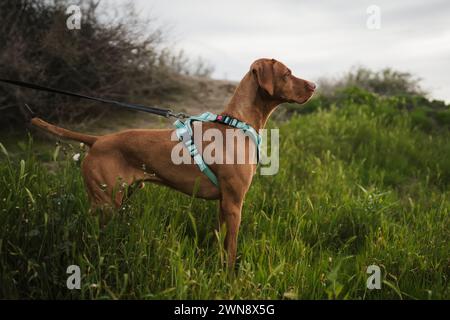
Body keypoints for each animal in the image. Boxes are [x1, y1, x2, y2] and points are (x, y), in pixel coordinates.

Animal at [31, 58, 314, 266]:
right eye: (287, 73)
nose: (313, 85)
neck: (237, 124)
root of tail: (98, 140)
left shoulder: (223, 203)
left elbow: (221, 243)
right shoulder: (235, 203)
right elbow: (231, 250)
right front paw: (229, 280)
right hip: (105, 203)